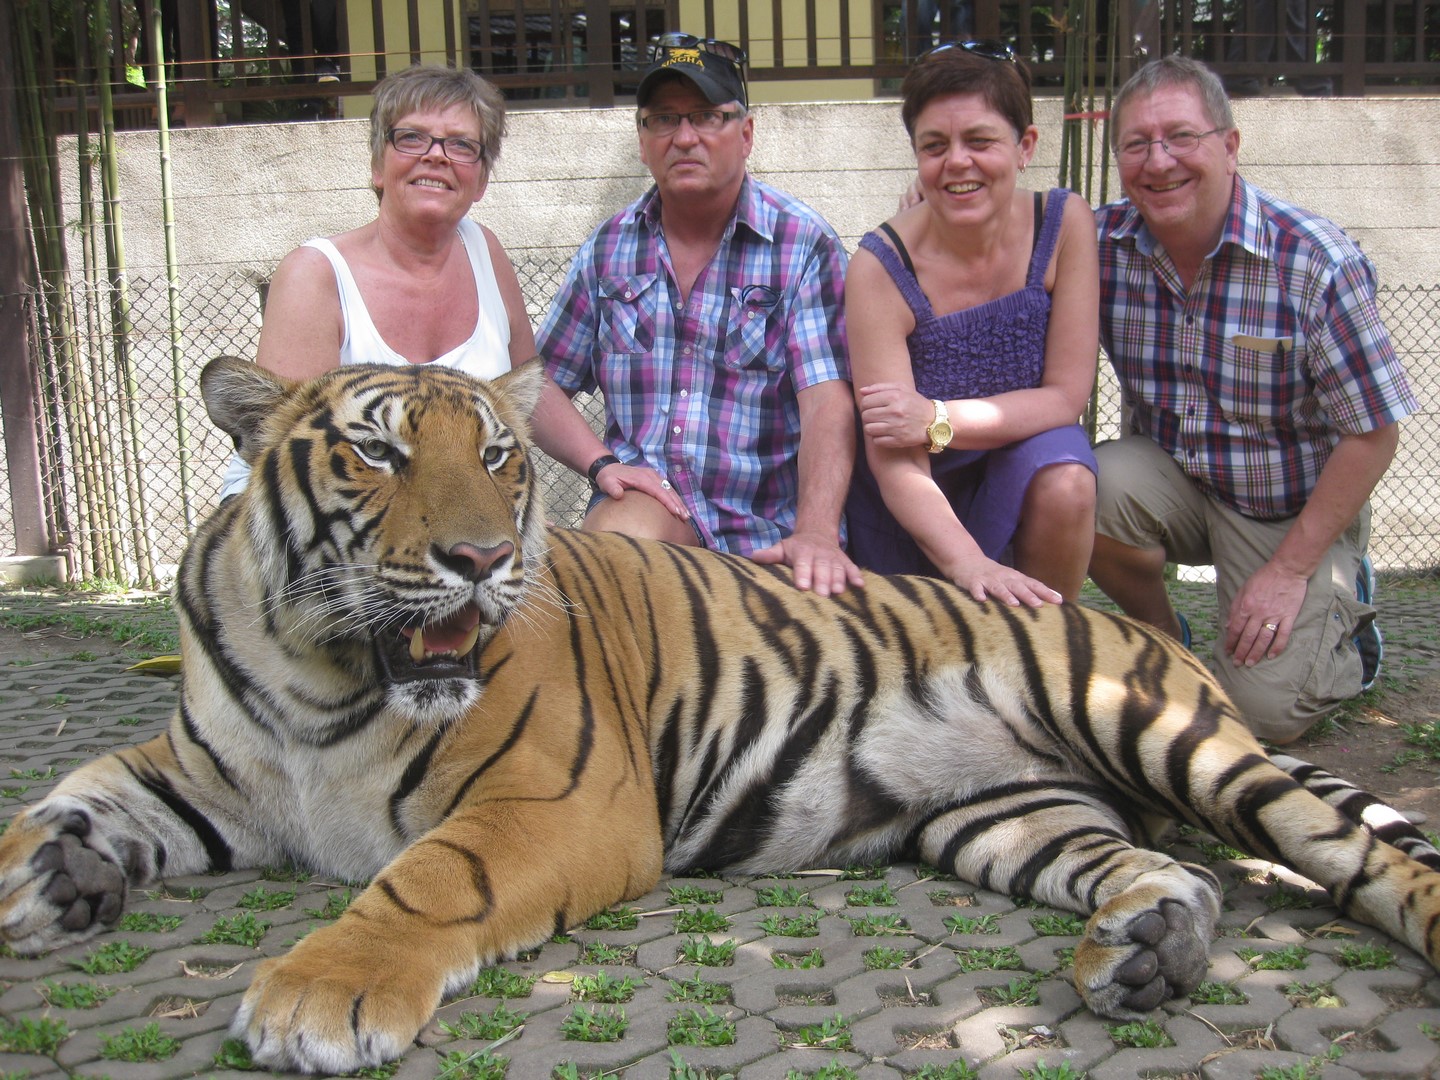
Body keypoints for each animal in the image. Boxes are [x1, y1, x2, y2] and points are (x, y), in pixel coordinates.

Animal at [0, 356, 1437, 1075]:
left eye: (501, 458)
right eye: (378, 450)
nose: (479, 559)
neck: (325, 667)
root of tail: (1145, 633)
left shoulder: (556, 801)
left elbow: (427, 882)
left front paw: (320, 995)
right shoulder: (204, 765)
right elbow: (73, 791)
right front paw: (51, 873)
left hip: (1158, 733)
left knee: (1351, 853)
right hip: (1009, 814)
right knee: (1157, 870)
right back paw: (1148, 952)